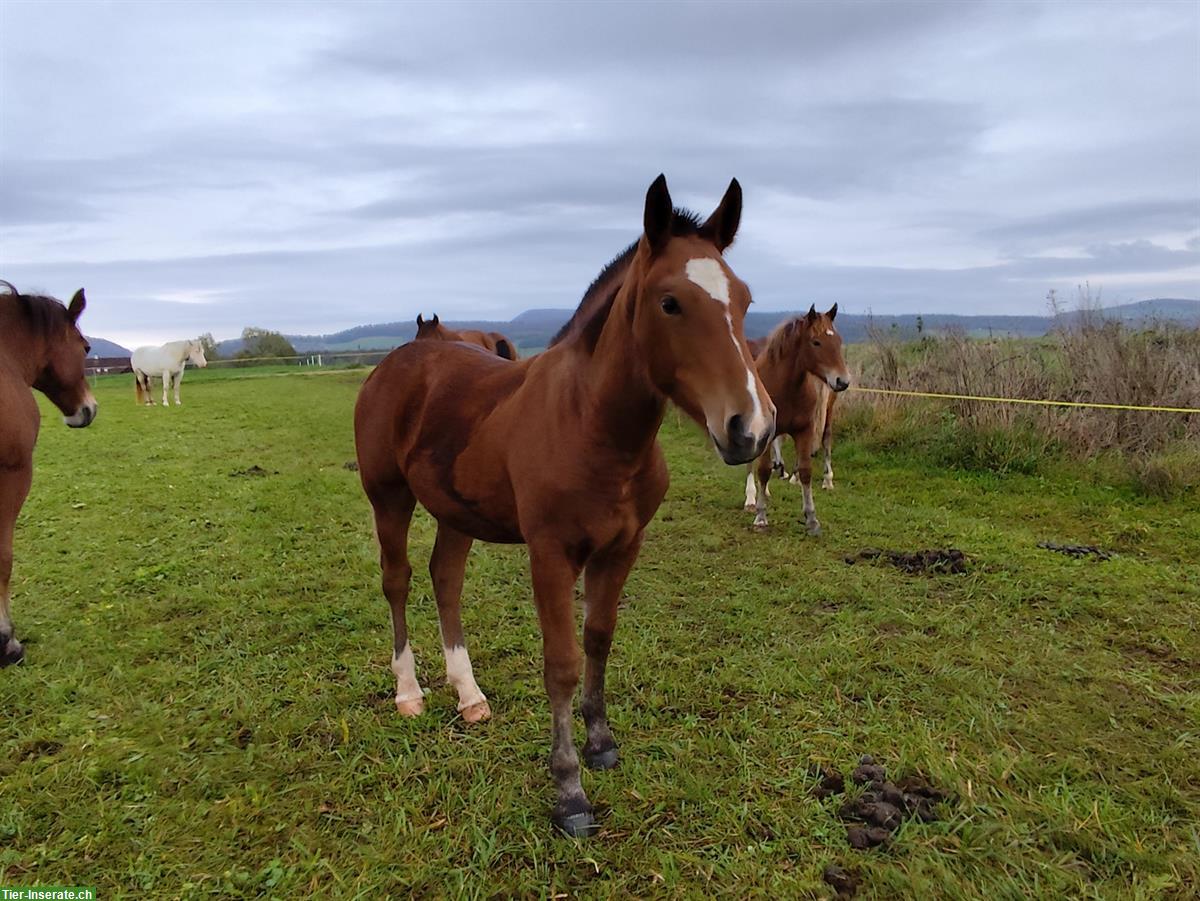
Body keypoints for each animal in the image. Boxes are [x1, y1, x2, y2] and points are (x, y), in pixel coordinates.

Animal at [350, 176, 772, 839]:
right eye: (669, 303)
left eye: (746, 300)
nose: (750, 428)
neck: (591, 425)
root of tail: (398, 360)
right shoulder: (550, 554)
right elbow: (563, 663)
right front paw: (569, 793)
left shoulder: (623, 547)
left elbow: (599, 638)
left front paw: (602, 746)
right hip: (388, 497)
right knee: (398, 580)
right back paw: (409, 692)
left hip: (455, 511)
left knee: (446, 579)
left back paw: (469, 697)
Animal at [739, 307, 844, 535]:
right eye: (816, 342)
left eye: (838, 340)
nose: (842, 380)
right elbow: (763, 470)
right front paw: (760, 517)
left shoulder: (804, 429)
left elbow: (805, 470)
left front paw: (812, 519)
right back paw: (752, 497)